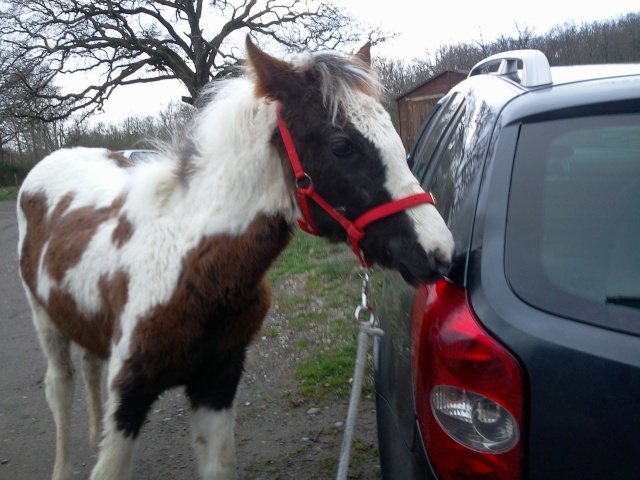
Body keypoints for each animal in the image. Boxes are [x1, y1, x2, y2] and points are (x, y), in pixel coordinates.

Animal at [16, 37, 456, 480]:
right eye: (341, 145)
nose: (439, 252)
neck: (187, 267)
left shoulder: (217, 381)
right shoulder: (129, 394)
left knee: (89, 365)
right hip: (44, 322)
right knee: (60, 386)